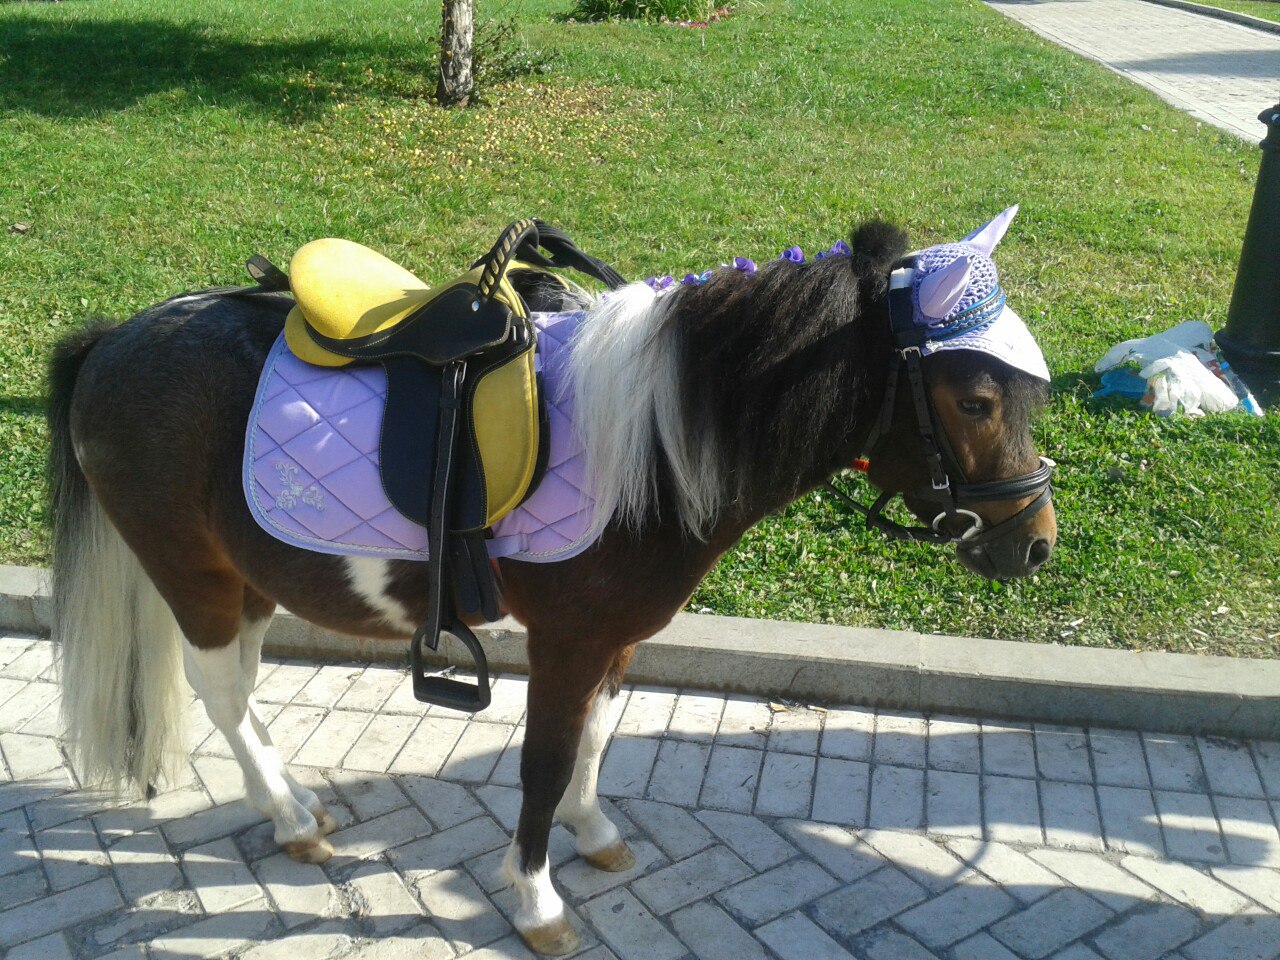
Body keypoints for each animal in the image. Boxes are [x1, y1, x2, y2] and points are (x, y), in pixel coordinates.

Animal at [46, 209, 1055, 955]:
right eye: (974, 400)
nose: (1035, 545)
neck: (653, 442)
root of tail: (113, 341)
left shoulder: (616, 642)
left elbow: (593, 742)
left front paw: (593, 832)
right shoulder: (567, 642)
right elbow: (541, 763)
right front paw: (535, 900)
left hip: (247, 576)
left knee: (242, 691)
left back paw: (288, 804)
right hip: (193, 573)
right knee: (218, 688)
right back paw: (290, 816)